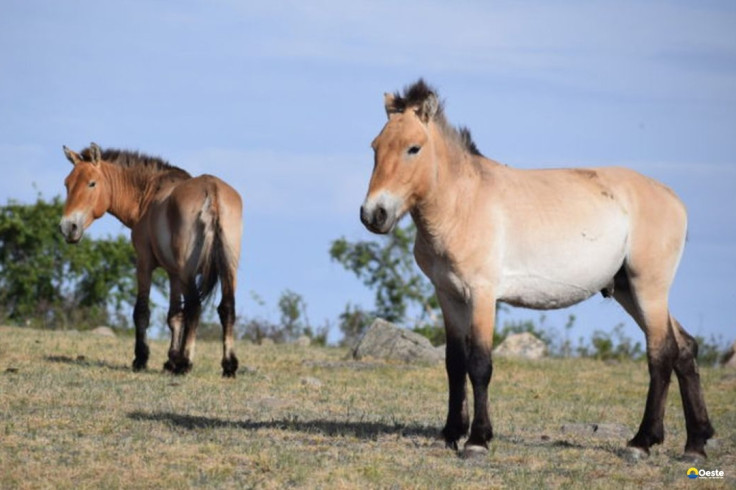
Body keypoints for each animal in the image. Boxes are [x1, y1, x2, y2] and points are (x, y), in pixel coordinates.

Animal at [59, 143, 243, 377]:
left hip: (188, 272)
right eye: (67, 184)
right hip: (227, 271)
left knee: (195, 307)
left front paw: (142, 358)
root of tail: (212, 191)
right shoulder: (174, 275)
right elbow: (175, 316)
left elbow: (142, 312)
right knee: (226, 308)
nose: (68, 227)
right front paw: (171, 360)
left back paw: (186, 362)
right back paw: (228, 365)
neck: (148, 193)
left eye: (92, 183)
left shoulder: (144, 264)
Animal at [360, 80, 715, 460]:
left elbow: (479, 364)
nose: (374, 214)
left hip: (649, 287)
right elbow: (454, 364)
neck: (463, 203)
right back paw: (695, 443)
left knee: (661, 353)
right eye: (375, 147)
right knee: (685, 348)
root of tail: (673, 199)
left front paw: (477, 440)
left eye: (414, 148)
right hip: (626, 290)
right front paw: (451, 434)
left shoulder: (482, 294)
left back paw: (642, 442)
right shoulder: (448, 294)